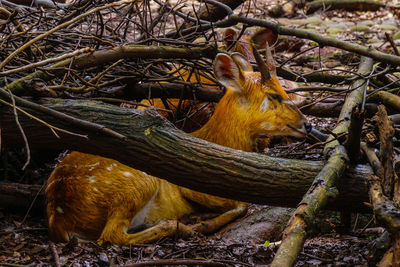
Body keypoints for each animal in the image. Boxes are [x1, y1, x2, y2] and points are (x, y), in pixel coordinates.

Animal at [46, 44, 310, 247]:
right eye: (273, 96)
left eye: (283, 88)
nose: (306, 124)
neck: (215, 141)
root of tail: (58, 216)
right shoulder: (193, 184)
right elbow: (242, 205)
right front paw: (204, 224)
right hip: (137, 181)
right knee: (111, 236)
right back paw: (180, 227)